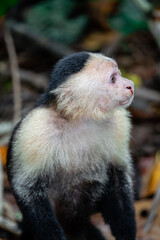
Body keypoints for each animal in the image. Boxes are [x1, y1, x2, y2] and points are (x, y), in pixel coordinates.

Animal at [6, 52, 136, 240]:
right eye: (113, 79)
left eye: (118, 74)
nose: (130, 85)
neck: (80, 119)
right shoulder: (35, 129)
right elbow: (28, 189)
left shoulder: (119, 123)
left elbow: (118, 178)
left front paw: (127, 234)